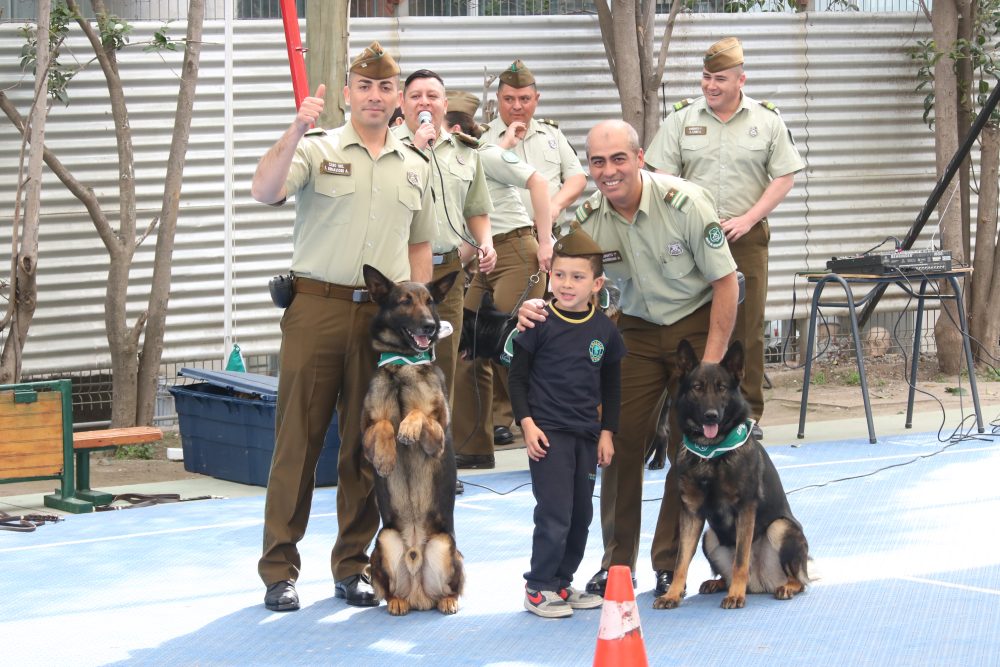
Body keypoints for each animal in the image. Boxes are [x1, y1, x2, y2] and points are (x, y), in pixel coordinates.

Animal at [362, 264, 466, 616]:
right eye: (405, 301)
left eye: (429, 301)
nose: (430, 326)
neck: (401, 366)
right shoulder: (365, 431)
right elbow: (383, 424)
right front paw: (386, 457)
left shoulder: (439, 435)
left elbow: (419, 414)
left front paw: (407, 429)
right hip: (384, 541)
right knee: (389, 590)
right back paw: (396, 601)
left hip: (445, 546)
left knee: (452, 588)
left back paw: (448, 601)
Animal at [656, 342, 812, 608]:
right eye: (697, 388)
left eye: (722, 388)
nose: (711, 415)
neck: (711, 453)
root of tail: (760, 583)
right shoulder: (691, 513)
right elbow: (681, 562)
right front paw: (672, 594)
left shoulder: (745, 509)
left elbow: (741, 559)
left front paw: (736, 595)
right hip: (709, 537)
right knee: (726, 572)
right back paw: (719, 584)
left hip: (780, 527)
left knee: (798, 580)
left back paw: (782, 587)